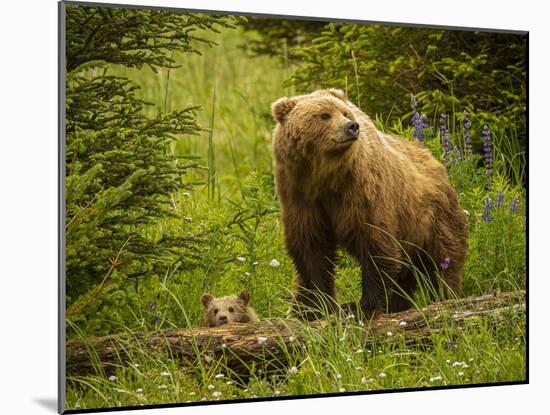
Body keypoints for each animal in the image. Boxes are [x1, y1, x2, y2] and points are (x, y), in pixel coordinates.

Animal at [272, 89, 470, 320]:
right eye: (324, 115)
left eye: (345, 112)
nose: (351, 126)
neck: (324, 178)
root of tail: (437, 163)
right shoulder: (300, 197)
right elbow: (311, 249)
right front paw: (317, 306)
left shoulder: (362, 193)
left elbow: (375, 244)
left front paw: (364, 307)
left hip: (432, 219)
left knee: (443, 262)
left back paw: (444, 296)